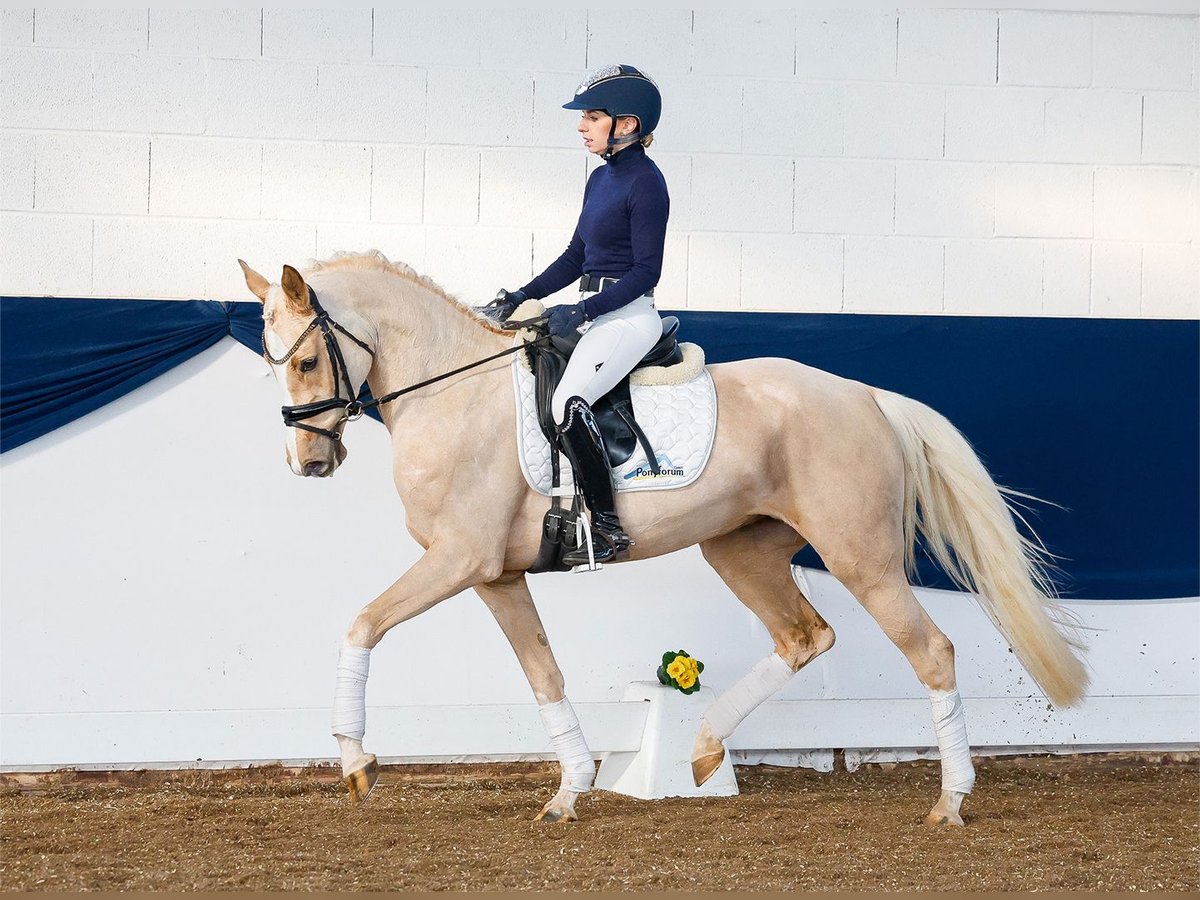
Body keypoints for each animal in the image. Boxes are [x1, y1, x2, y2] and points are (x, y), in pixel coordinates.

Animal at [241, 250, 1089, 830]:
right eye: (272, 367)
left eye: (308, 359)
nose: (308, 462)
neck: (454, 391)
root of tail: (865, 396)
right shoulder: (495, 575)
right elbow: (543, 675)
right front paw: (571, 789)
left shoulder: (459, 560)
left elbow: (361, 624)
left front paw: (356, 762)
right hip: (738, 548)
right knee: (804, 636)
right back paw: (705, 749)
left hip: (861, 558)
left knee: (931, 651)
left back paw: (950, 801)